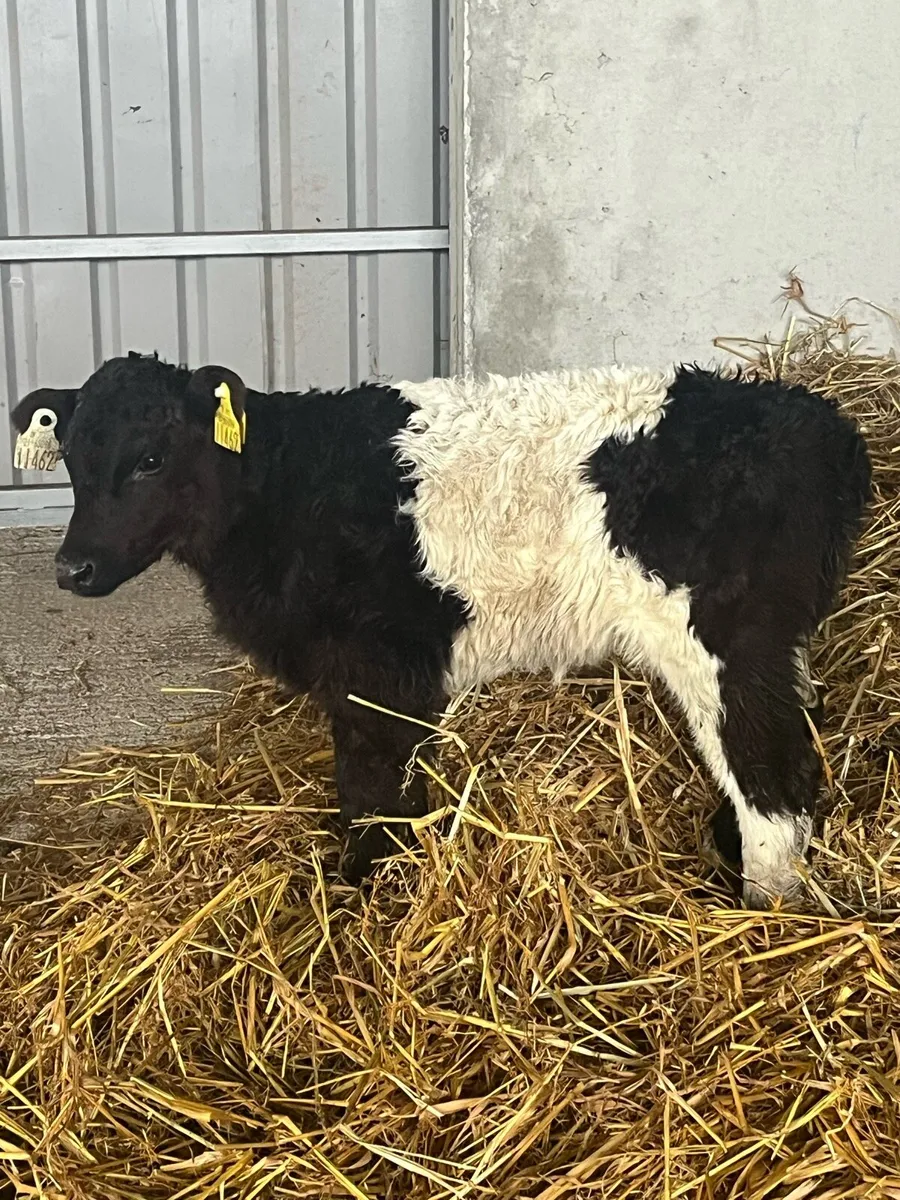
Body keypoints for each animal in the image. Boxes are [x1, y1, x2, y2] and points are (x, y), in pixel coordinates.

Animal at [11, 353, 871, 907]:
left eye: (151, 458)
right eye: (71, 460)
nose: (73, 568)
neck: (283, 488)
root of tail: (819, 421)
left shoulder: (377, 671)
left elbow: (371, 796)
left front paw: (361, 901)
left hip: (727, 642)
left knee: (774, 784)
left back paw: (764, 909)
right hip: (775, 646)